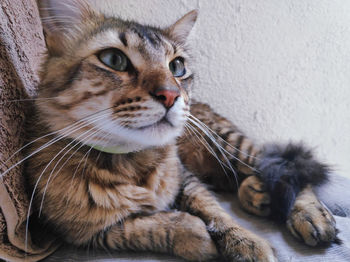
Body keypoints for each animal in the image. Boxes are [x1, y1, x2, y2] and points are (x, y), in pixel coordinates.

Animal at [19, 0, 340, 260]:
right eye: (113, 60)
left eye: (177, 67)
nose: (171, 95)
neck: (133, 163)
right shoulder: (85, 232)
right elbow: (148, 226)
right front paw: (197, 237)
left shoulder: (187, 180)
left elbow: (217, 213)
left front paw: (249, 243)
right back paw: (257, 194)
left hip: (229, 144)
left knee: (285, 169)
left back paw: (311, 216)